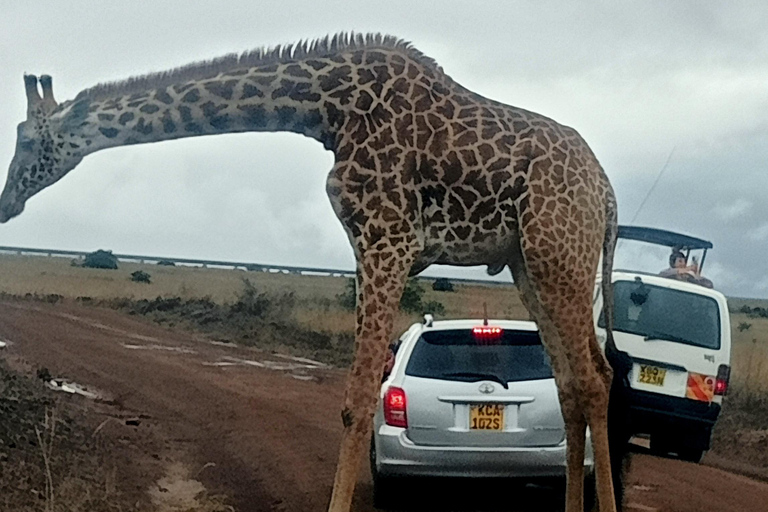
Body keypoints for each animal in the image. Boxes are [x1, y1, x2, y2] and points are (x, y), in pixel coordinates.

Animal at [0, 34, 624, 510]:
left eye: (27, 140)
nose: (6, 202)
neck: (327, 106)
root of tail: (607, 193)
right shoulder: (365, 243)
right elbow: (357, 395)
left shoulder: (389, 238)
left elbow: (358, 398)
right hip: (528, 263)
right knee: (572, 382)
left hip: (559, 253)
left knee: (595, 377)